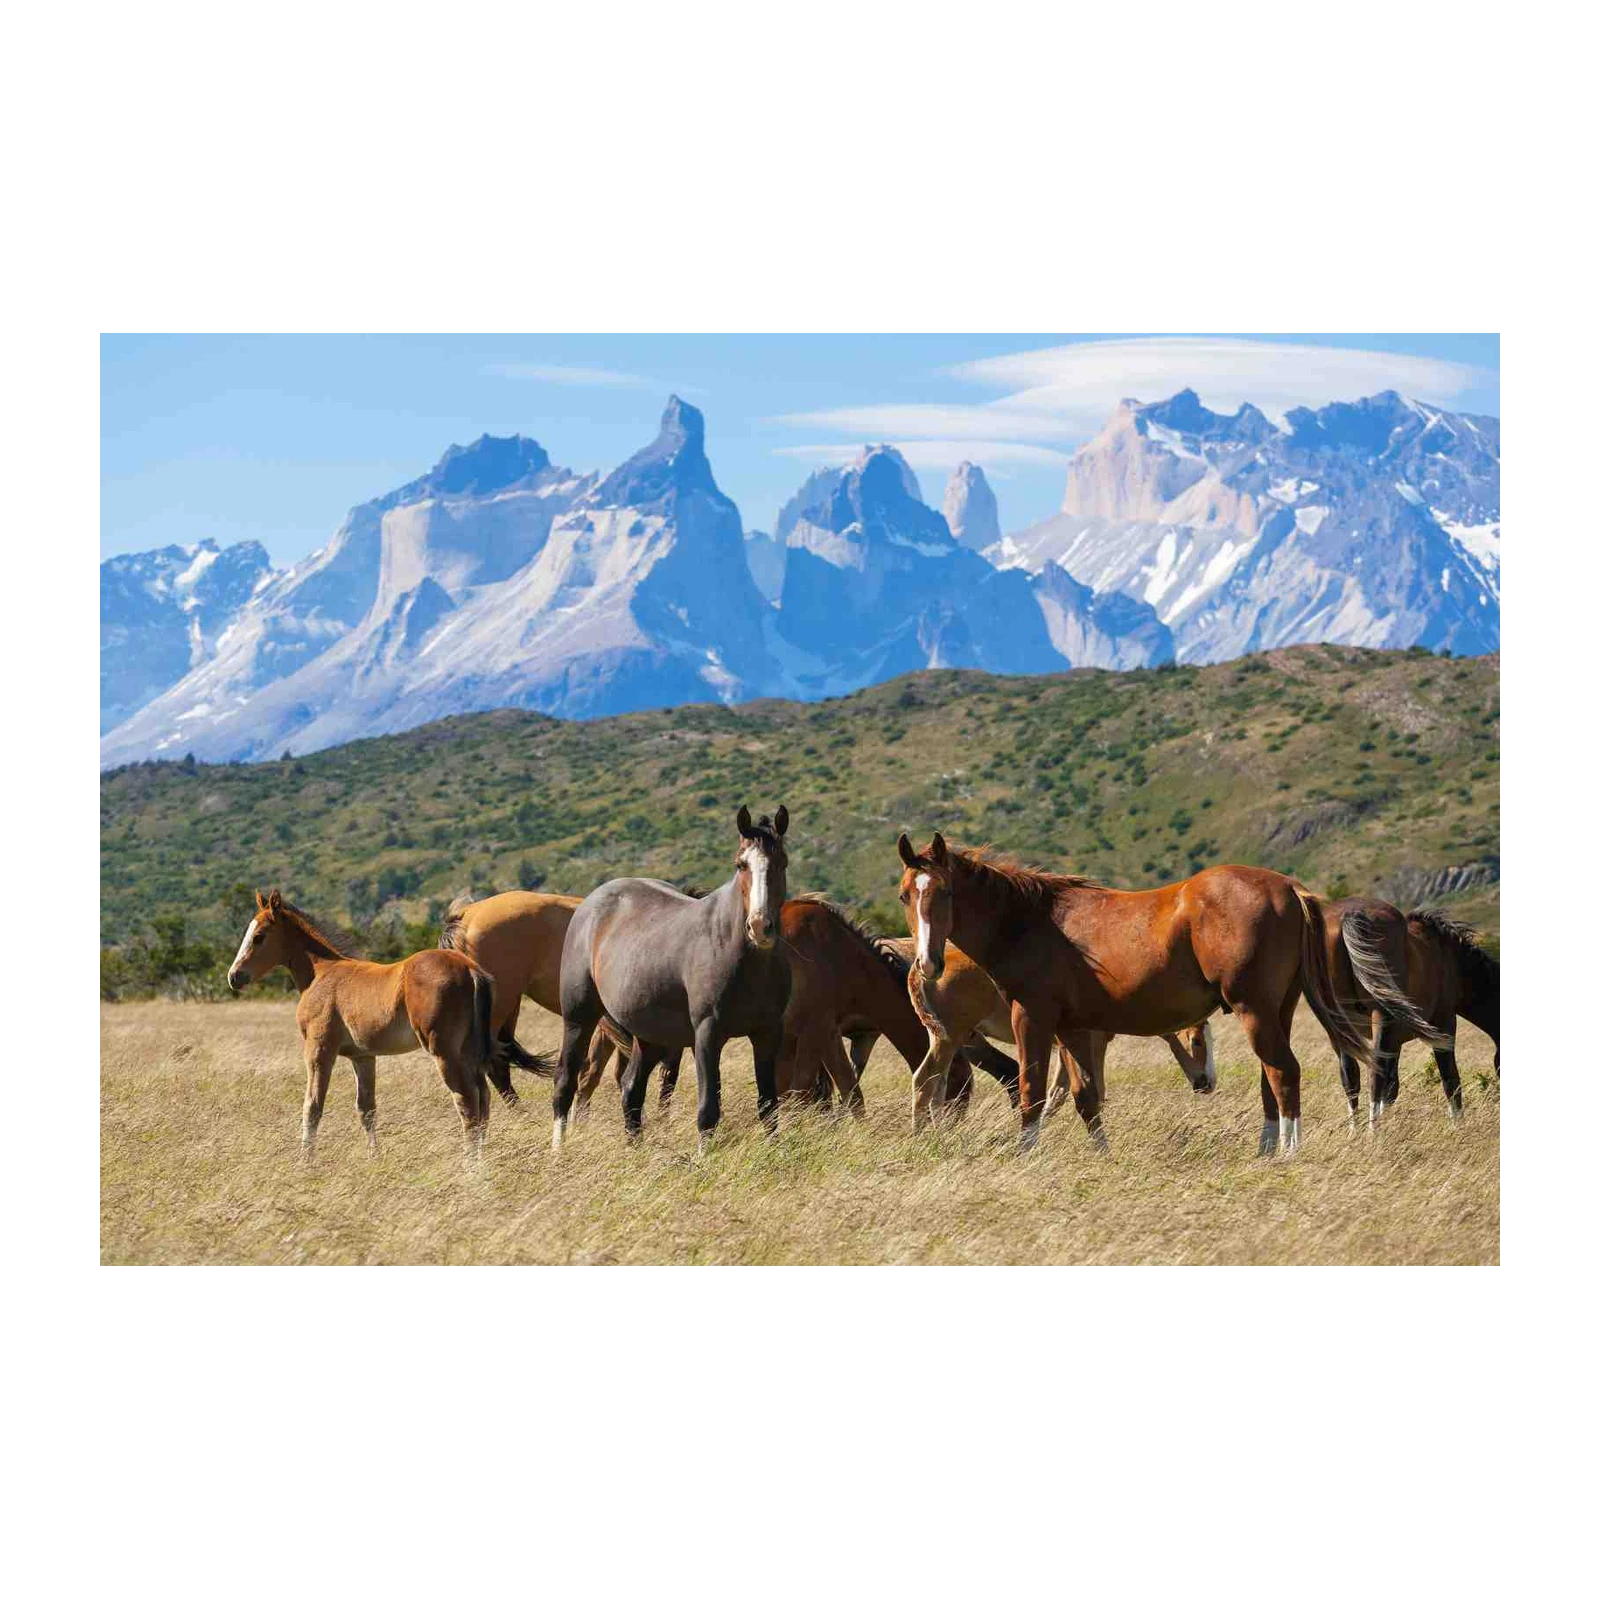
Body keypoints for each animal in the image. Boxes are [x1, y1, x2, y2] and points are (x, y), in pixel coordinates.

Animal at [225, 889, 496, 1158]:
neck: (320, 972)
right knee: (483, 1098)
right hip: (467, 1050)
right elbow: (366, 1109)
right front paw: (374, 1156)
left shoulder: (319, 1049)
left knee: (467, 1101)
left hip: (443, 1050)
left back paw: (469, 1162)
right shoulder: (363, 1056)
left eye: (258, 937)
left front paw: (306, 1160)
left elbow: (312, 1106)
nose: (234, 976)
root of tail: (470, 969)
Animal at [550, 806, 794, 1152]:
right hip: (578, 1018)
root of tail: (589, 905)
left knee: (631, 1090)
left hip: (650, 1035)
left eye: (782, 862)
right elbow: (708, 1110)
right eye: (740, 864)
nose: (760, 927)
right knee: (565, 1082)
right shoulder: (707, 1033)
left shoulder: (767, 1032)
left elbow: (768, 1105)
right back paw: (558, 1151)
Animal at [895, 834, 1372, 1154]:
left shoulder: (1033, 1018)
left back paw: (1288, 1154)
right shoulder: (1074, 1029)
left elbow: (1032, 1092)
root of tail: (1290, 887)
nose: (928, 963)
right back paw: (1268, 1152)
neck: (1029, 921)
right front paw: (1101, 1156)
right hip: (1279, 1011)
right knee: (1270, 1081)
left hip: (1253, 1010)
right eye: (904, 895)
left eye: (947, 891)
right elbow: (1086, 1097)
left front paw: (1025, 1154)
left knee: (1283, 1073)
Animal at [1322, 898, 1504, 1126]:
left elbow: (1391, 1087)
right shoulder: (1444, 1023)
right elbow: (1450, 1079)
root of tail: (1352, 915)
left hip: (1340, 1025)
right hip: (1380, 1016)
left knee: (1350, 1076)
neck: (1450, 959)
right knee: (1374, 1074)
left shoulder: (1394, 1044)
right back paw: (1374, 1131)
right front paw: (1457, 1125)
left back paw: (1355, 1131)